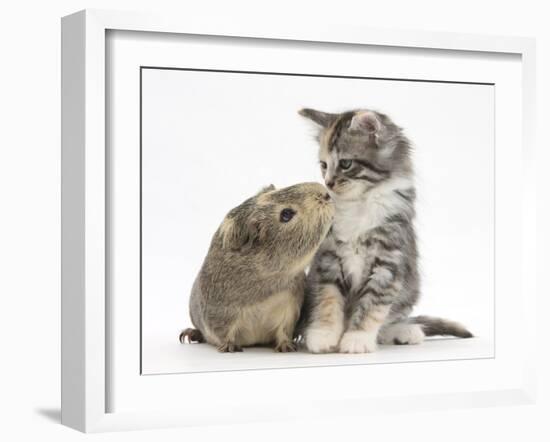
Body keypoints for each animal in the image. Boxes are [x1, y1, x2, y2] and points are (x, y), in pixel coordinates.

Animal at [300, 109, 472, 354]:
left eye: (345, 164)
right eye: (323, 165)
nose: (328, 183)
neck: (359, 202)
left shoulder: (388, 262)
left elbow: (372, 305)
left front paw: (357, 339)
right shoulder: (328, 259)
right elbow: (328, 299)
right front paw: (323, 335)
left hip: (409, 292)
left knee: (389, 322)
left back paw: (405, 332)